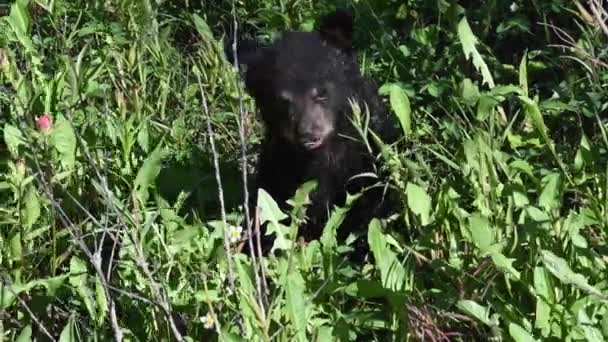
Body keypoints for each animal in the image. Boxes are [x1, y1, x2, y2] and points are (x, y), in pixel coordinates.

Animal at [226, 8, 402, 258]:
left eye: (320, 93)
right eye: (282, 101)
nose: (309, 134)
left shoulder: (369, 152)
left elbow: (376, 203)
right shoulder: (279, 167)